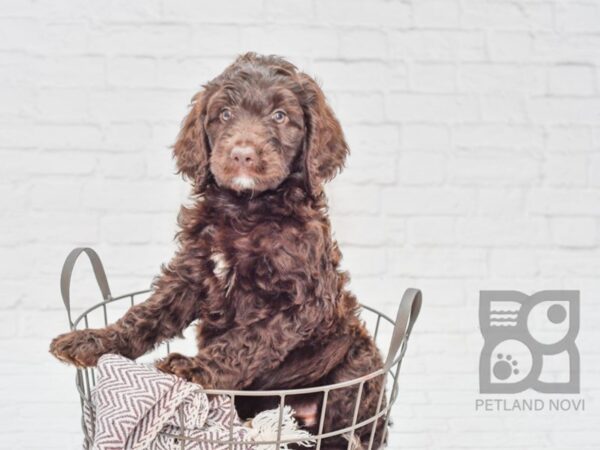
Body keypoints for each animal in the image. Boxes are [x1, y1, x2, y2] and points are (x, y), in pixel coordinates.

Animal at [52, 53, 390, 450]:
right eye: (225, 114)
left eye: (280, 115)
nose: (242, 154)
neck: (246, 207)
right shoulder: (192, 272)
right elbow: (146, 314)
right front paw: (95, 340)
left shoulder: (303, 300)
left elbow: (247, 340)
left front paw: (196, 370)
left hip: (352, 369)